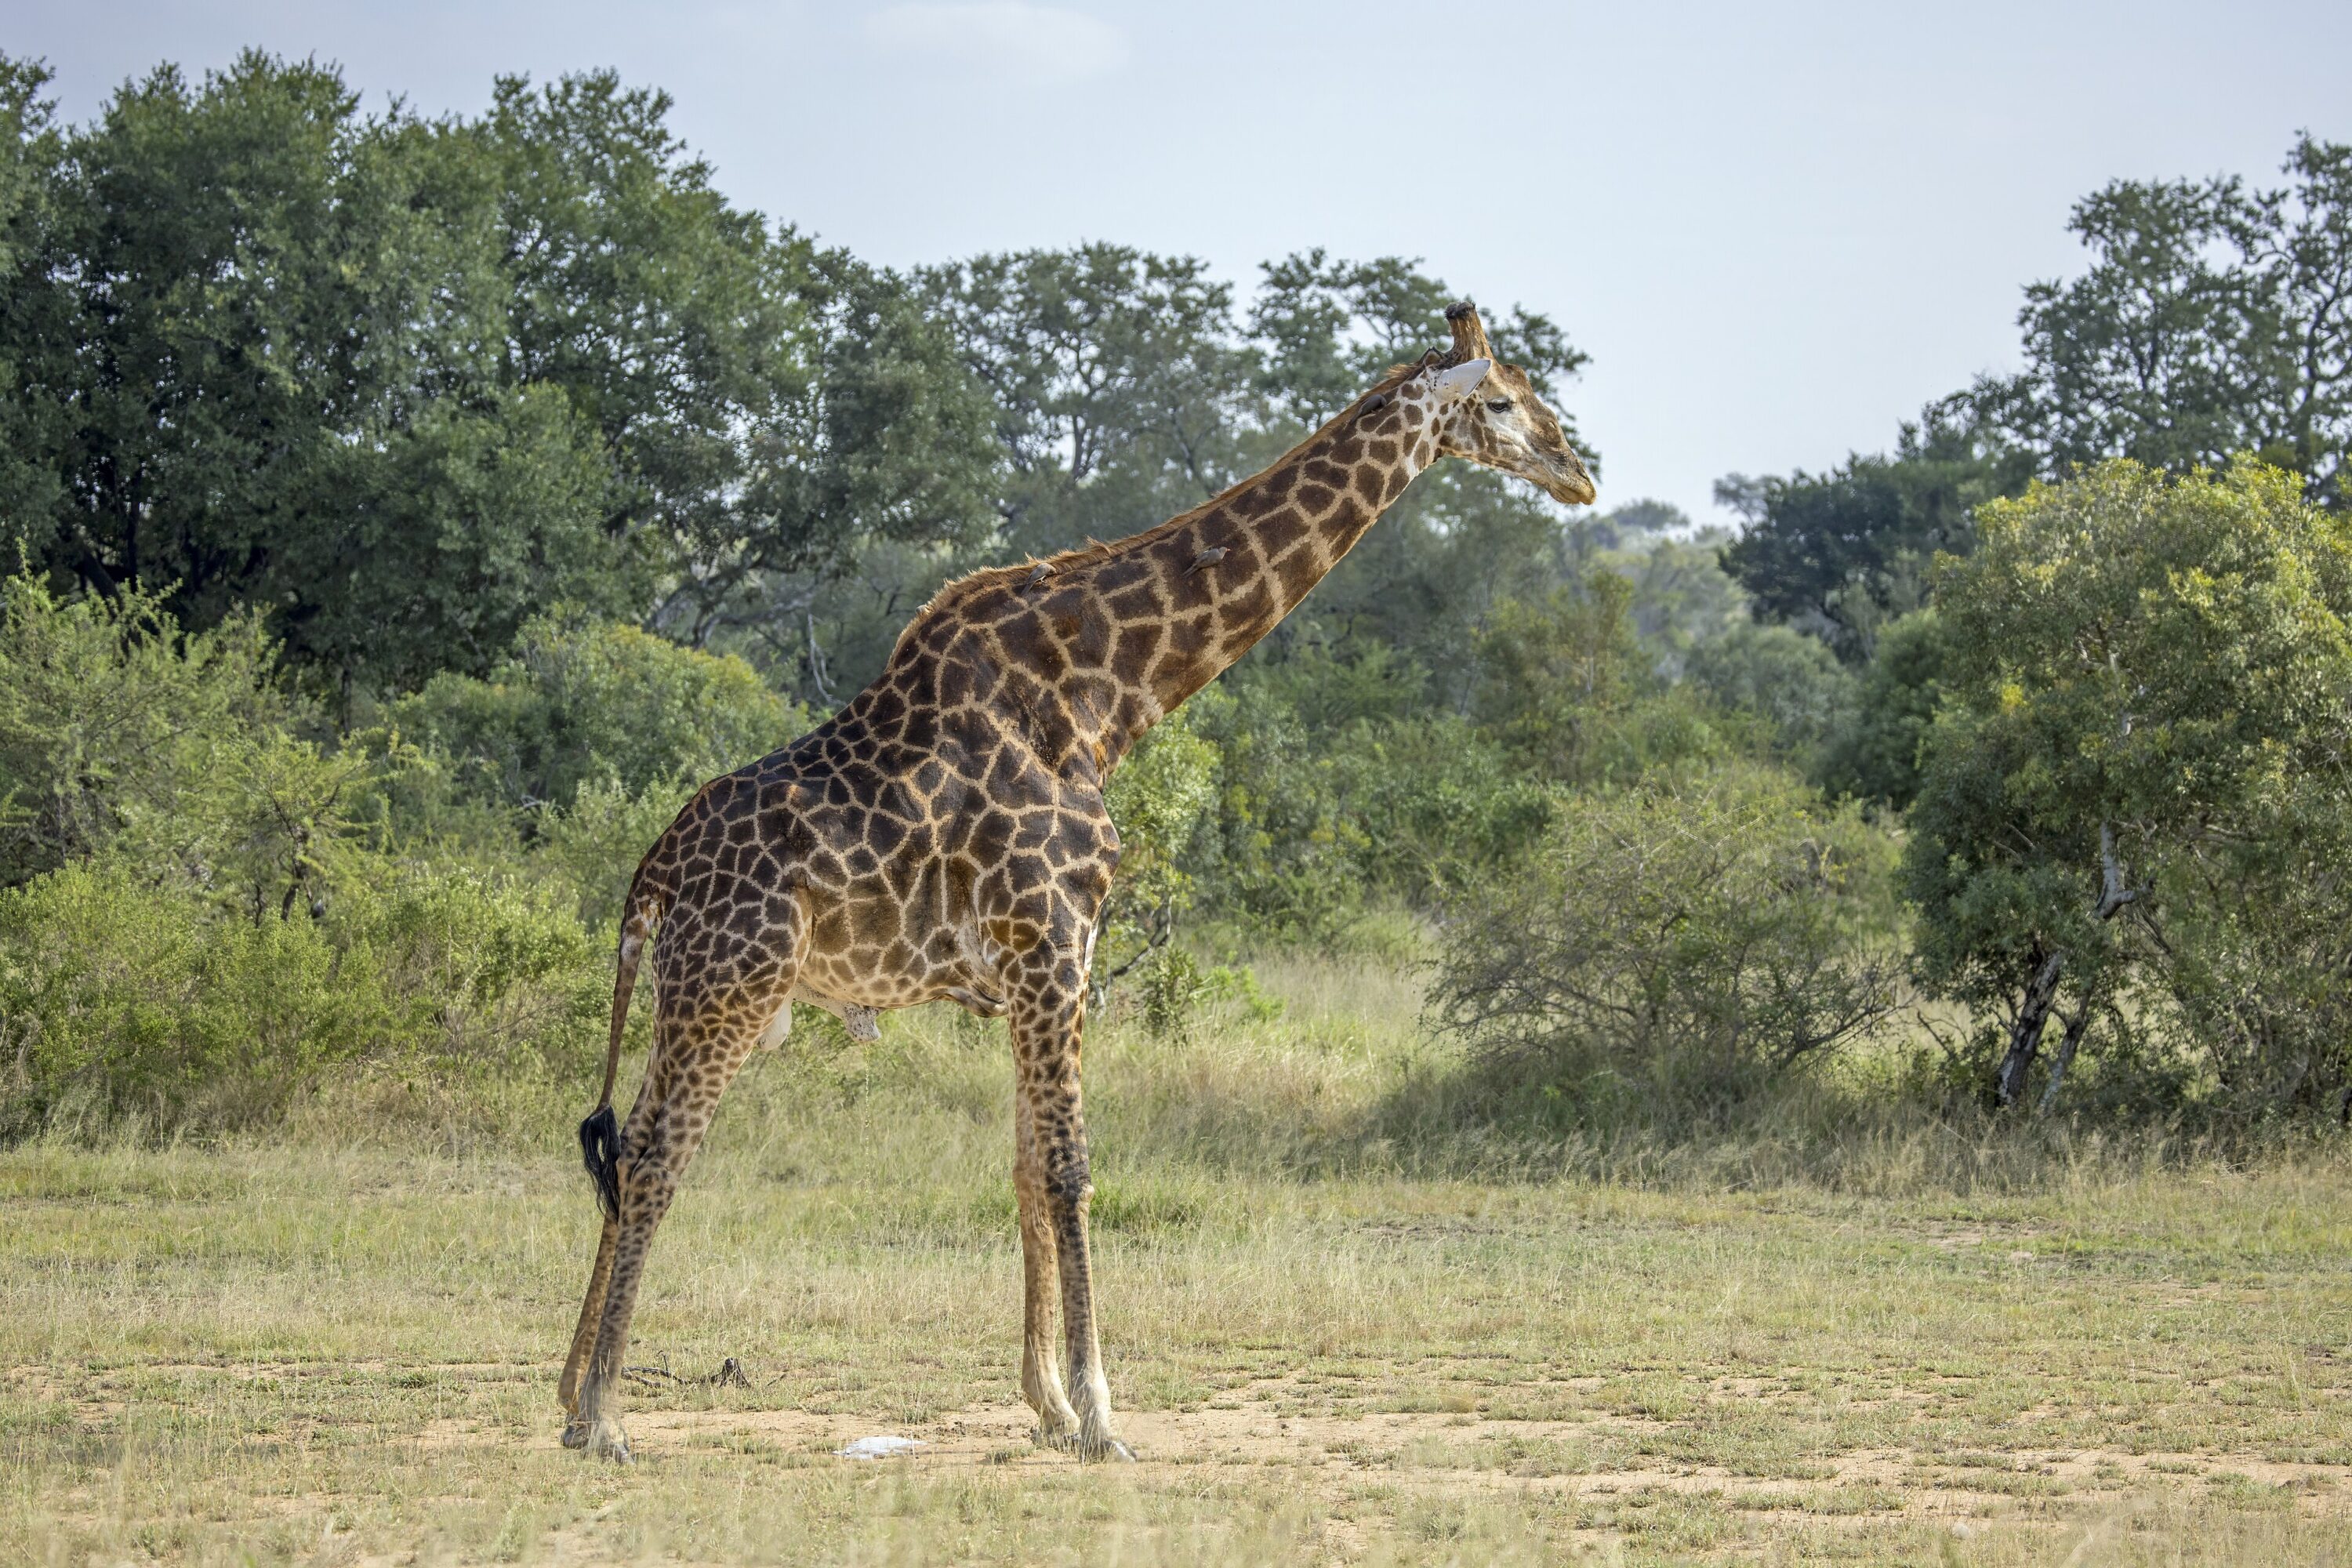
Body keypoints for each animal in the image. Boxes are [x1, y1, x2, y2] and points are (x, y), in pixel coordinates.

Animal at [555, 302, 1595, 1464]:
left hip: (692, 993)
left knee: (625, 1148)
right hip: (729, 989)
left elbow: (1022, 1167)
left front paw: (1048, 1404)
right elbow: (1069, 1167)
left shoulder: (1043, 958)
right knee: (655, 1158)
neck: (1107, 696)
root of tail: (649, 872)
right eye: (1500, 399)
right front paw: (1102, 1414)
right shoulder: (1055, 936)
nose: (1578, 473)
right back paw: (607, 1417)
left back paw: (569, 1399)